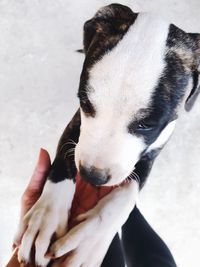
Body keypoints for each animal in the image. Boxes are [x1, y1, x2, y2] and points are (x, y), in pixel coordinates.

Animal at [14, 4, 200, 267]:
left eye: (147, 124)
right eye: (84, 102)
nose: (92, 175)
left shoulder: (153, 151)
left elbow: (128, 191)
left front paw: (92, 239)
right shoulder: (77, 124)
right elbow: (63, 158)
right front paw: (46, 217)